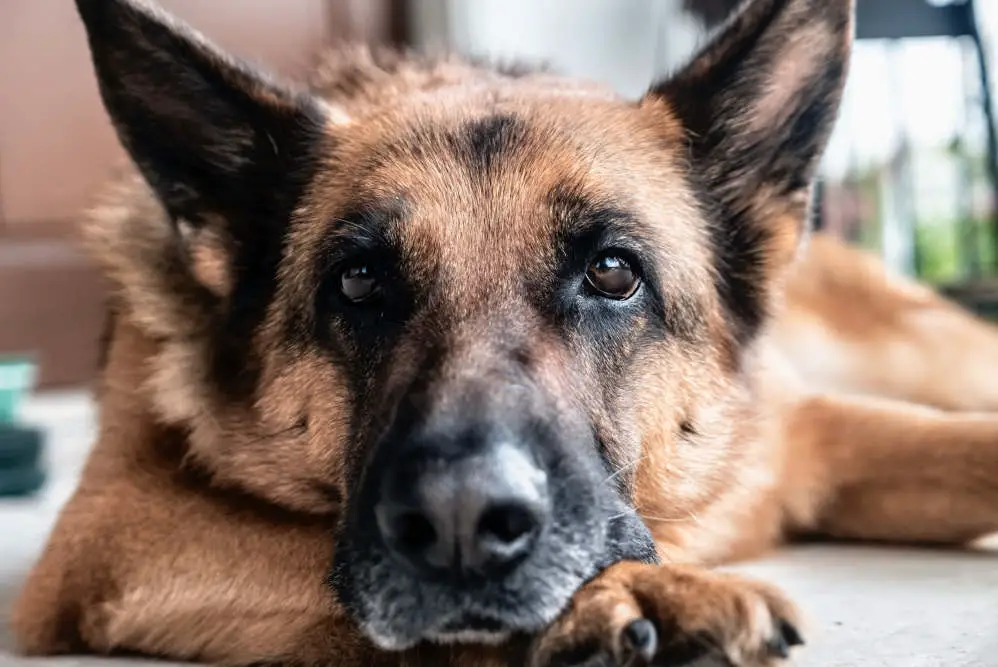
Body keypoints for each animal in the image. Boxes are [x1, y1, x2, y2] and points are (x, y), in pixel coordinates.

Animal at [9, 0, 998, 664]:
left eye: (612, 272)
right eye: (359, 280)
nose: (458, 518)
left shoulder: (820, 434)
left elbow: (967, 448)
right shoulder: (120, 523)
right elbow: (321, 562)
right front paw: (618, 599)